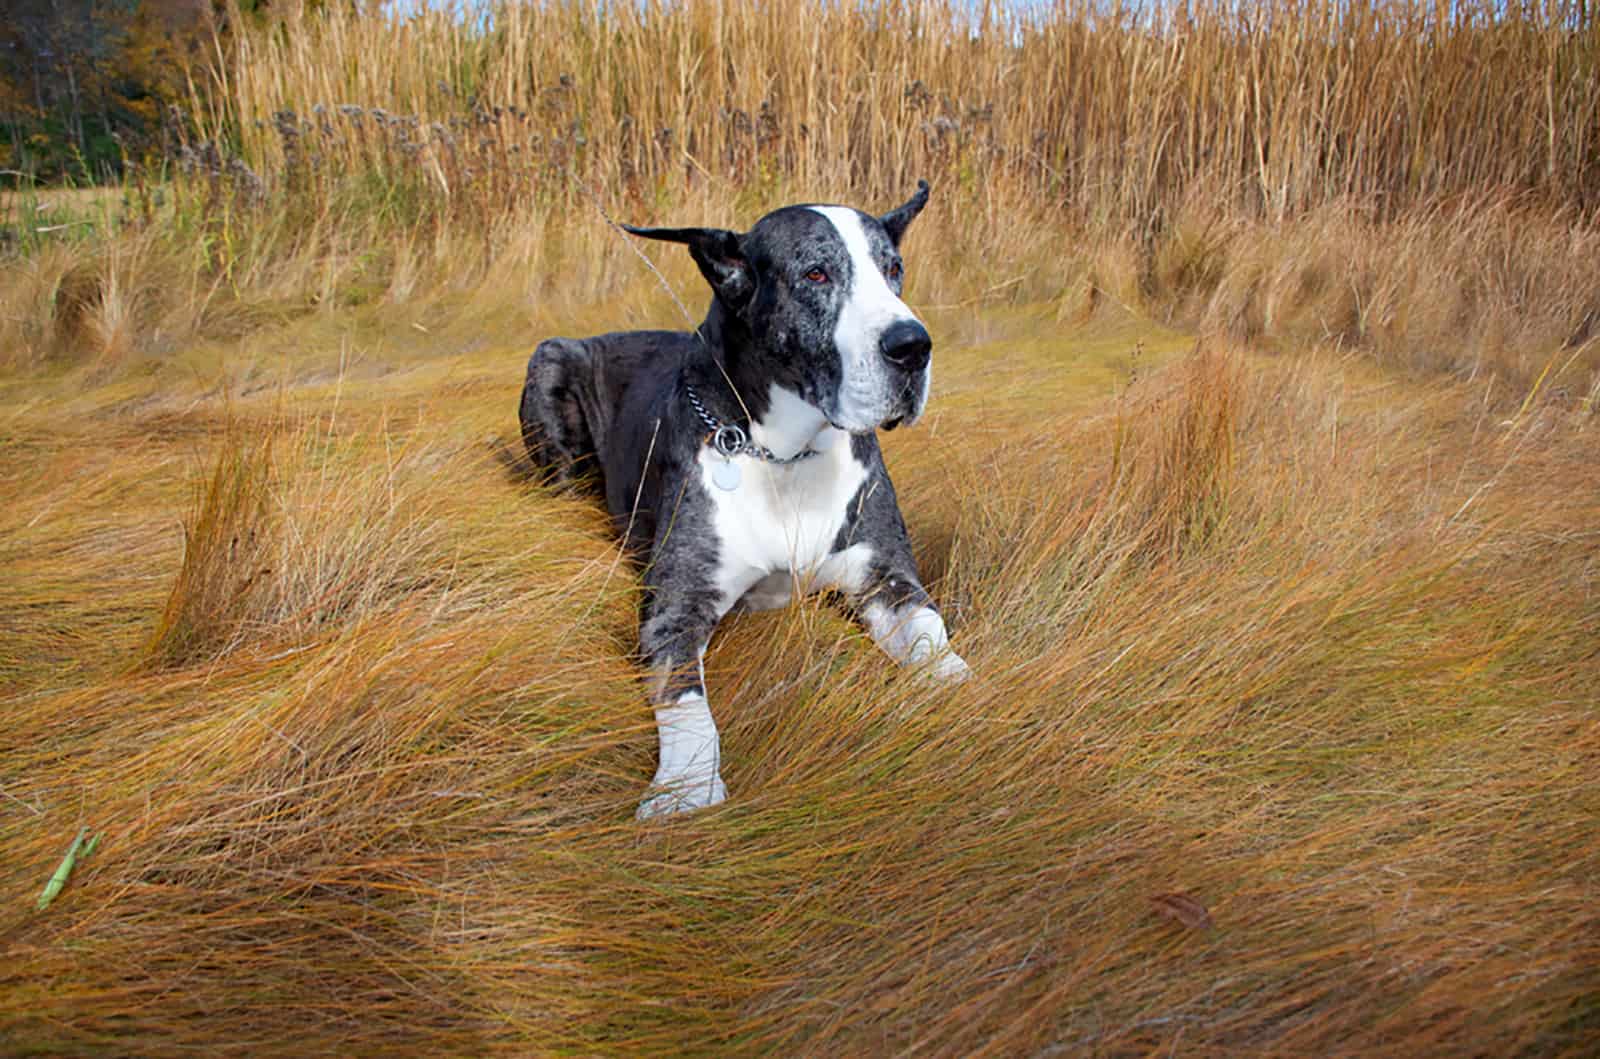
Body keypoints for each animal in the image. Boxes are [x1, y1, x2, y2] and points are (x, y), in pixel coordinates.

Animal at [524, 182, 966, 819]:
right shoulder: (677, 608)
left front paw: (966, 684)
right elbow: (686, 703)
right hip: (550, 357)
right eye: (815, 274)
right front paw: (685, 787)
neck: (786, 454)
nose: (913, 347)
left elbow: (935, 637)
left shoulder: (888, 577)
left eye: (894, 269)